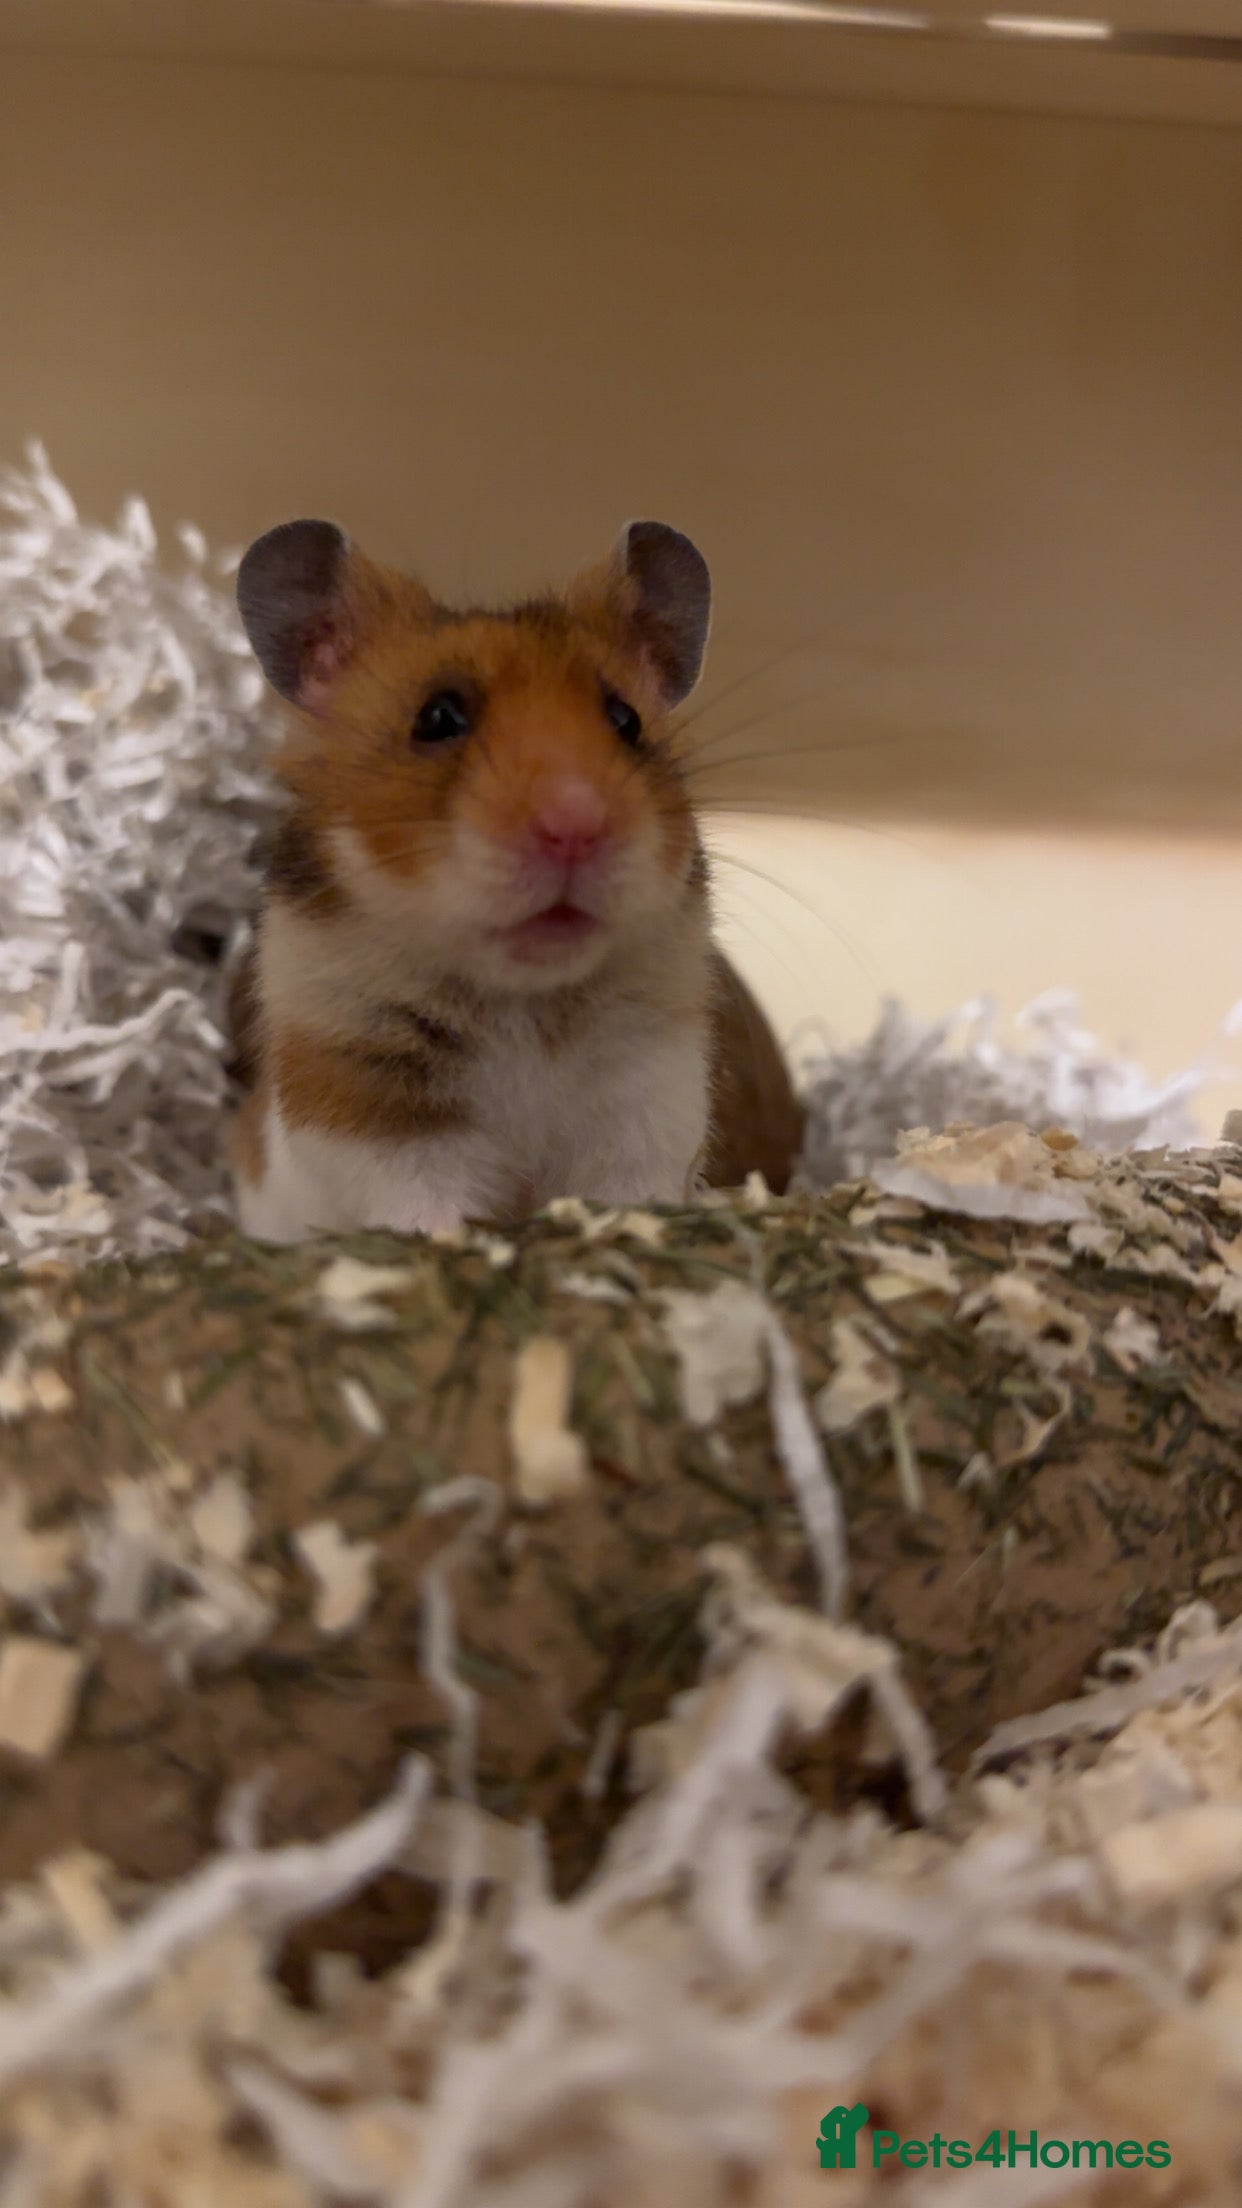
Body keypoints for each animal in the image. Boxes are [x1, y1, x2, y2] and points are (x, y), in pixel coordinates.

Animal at [227, 516, 804, 1242]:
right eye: (436, 718)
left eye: (626, 721)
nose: (576, 824)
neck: (521, 1000)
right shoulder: (363, 1098)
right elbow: (421, 1196)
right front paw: (449, 1236)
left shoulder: (652, 1085)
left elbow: (627, 1183)